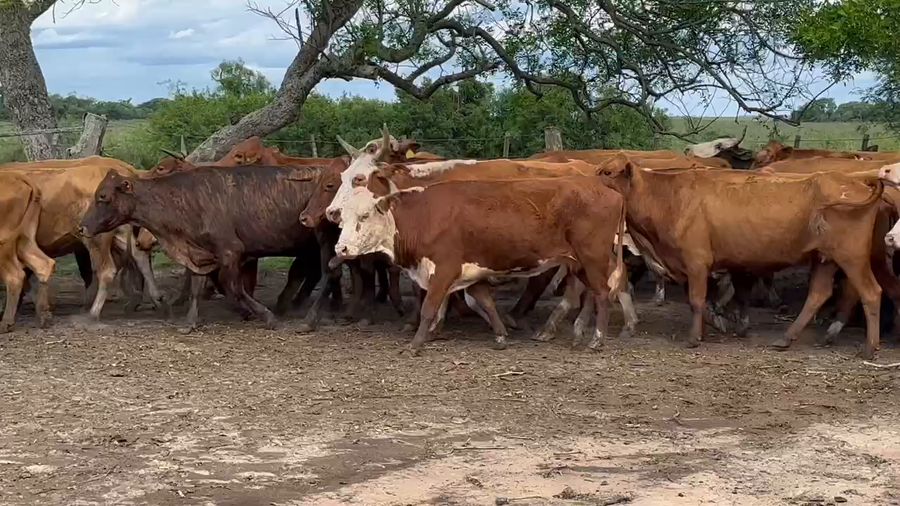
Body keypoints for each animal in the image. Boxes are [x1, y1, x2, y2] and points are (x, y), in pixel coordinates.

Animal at [78, 164, 337, 330]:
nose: (81, 227)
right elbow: (196, 286)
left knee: (328, 275)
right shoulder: (199, 254)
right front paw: (190, 321)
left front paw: (266, 316)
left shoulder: (231, 252)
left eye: (103, 196)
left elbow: (235, 288)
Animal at [331, 176, 627, 354]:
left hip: (592, 257)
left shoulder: (444, 269)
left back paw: (597, 339)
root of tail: (606, 188)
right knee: (591, 291)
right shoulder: (469, 273)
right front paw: (500, 335)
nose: (340, 249)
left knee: (602, 293)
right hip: (579, 262)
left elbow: (429, 308)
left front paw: (415, 344)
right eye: (341, 219)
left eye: (364, 216)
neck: (423, 216)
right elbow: (485, 302)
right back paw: (578, 333)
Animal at [597, 154, 886, 359]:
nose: (589, 179)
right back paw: (786, 338)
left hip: (852, 257)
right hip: (825, 258)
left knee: (870, 293)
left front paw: (695, 337)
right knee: (818, 294)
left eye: (608, 172)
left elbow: (697, 299)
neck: (669, 197)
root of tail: (854, 181)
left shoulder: (696, 261)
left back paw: (870, 348)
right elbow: (716, 299)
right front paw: (718, 324)